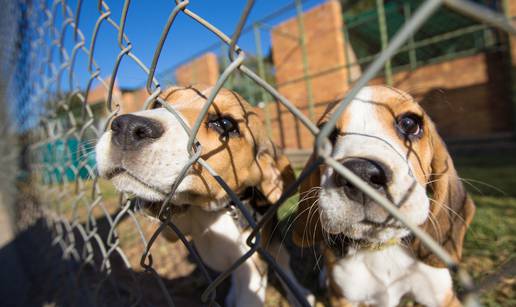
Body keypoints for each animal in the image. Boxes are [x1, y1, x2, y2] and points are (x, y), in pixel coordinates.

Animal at [94, 85, 296, 306]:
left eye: (225, 124)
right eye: (157, 104)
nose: (127, 127)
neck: (212, 212)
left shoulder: (252, 272)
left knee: (285, 266)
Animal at [294, 86, 476, 307]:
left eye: (409, 123)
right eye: (326, 134)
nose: (361, 173)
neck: (382, 248)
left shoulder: (443, 297)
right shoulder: (343, 298)